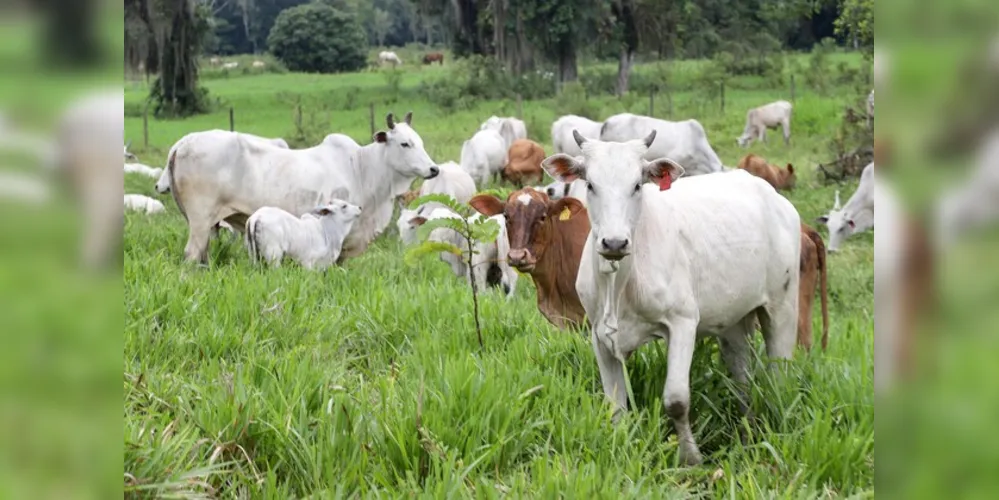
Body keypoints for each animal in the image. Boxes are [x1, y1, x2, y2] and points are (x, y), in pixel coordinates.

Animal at [169, 111, 442, 264]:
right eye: (405, 144)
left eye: (420, 142)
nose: (433, 169)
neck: (362, 168)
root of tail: (182, 143)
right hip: (200, 220)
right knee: (192, 254)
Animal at [544, 129, 800, 464]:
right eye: (590, 185)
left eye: (637, 185)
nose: (614, 242)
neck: (619, 285)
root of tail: (776, 199)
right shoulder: (599, 335)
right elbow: (615, 405)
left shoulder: (683, 322)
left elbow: (676, 400)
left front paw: (691, 458)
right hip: (732, 321)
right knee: (741, 379)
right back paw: (746, 432)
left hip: (783, 307)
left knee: (779, 375)